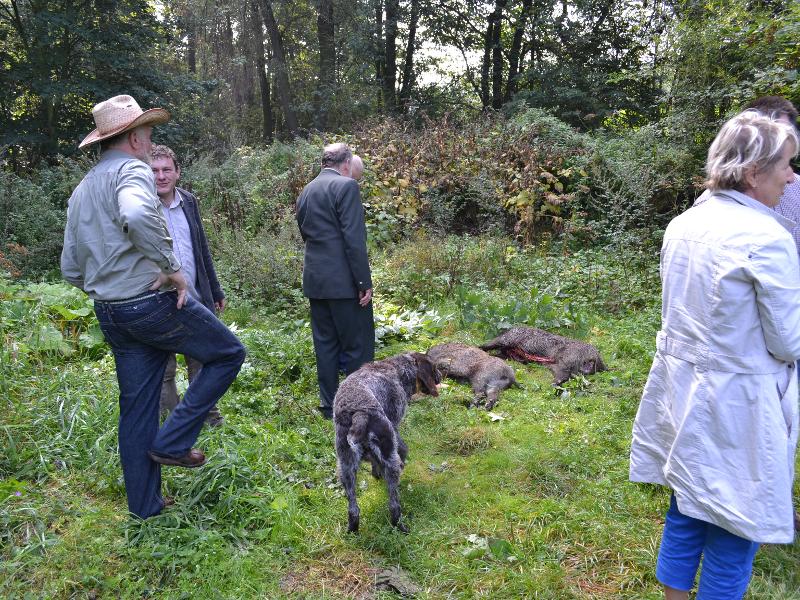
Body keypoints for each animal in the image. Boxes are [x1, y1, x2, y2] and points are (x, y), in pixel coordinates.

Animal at [332, 352, 440, 536]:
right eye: (433, 368)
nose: (441, 375)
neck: (397, 370)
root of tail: (359, 413)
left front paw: (376, 474)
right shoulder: (394, 424)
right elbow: (403, 448)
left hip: (345, 467)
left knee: (353, 509)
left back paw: (352, 531)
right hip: (390, 460)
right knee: (394, 506)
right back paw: (402, 528)